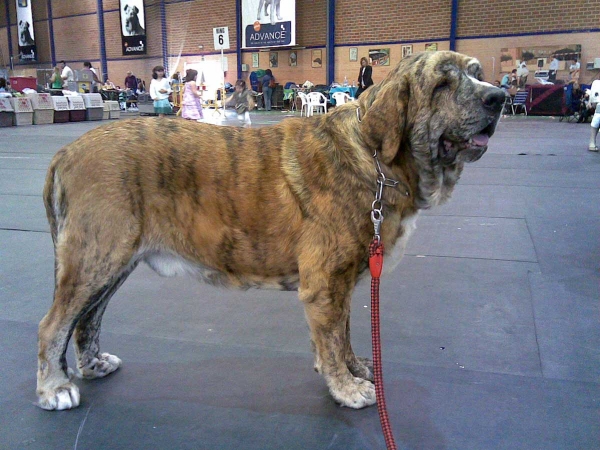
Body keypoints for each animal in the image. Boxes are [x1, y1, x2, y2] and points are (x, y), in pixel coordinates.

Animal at [37, 51, 504, 410]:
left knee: (87, 319)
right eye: (442, 85)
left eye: (478, 73)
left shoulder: (342, 281)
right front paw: (346, 388)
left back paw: (93, 366)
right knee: (53, 324)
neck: (376, 156)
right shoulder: (325, 283)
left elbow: (343, 332)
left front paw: (353, 368)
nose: (498, 97)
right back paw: (55, 388)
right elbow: (332, 338)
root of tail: (65, 151)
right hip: (95, 258)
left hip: (113, 264)